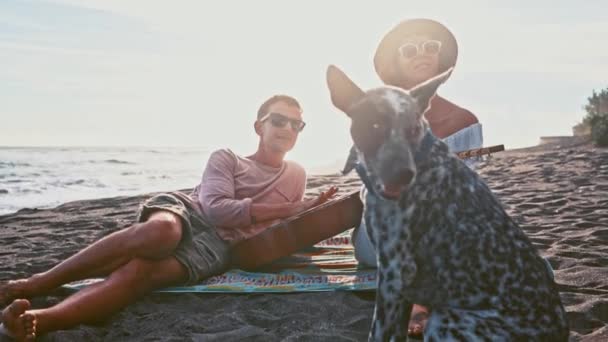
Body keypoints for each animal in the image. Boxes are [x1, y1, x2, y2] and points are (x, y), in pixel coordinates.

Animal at [326, 65, 568, 342]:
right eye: (375, 125)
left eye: (414, 129)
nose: (404, 175)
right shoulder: (399, 286)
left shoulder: (394, 274)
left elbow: (377, 333)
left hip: (444, 322)